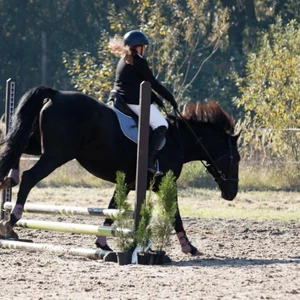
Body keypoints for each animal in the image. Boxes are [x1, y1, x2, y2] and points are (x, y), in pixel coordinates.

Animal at [0, 85, 240, 254]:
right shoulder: (163, 183)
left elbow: (112, 207)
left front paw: (102, 242)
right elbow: (175, 214)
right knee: (29, 177)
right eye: (235, 158)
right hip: (57, 154)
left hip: (39, 144)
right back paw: (11, 220)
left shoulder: (126, 182)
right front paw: (189, 247)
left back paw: (9, 180)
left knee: (15, 145)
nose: (231, 194)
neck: (178, 139)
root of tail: (57, 94)